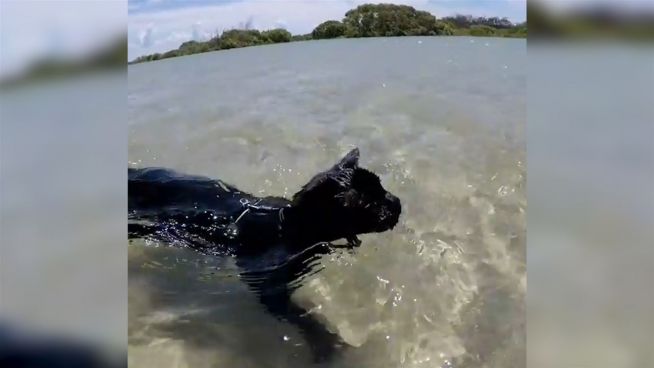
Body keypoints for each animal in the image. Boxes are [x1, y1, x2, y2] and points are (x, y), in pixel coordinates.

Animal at [127, 148, 402, 360]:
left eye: (382, 188)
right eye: (369, 204)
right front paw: (327, 344)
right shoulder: (266, 287)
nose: (397, 203)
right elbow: (302, 316)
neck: (287, 225)